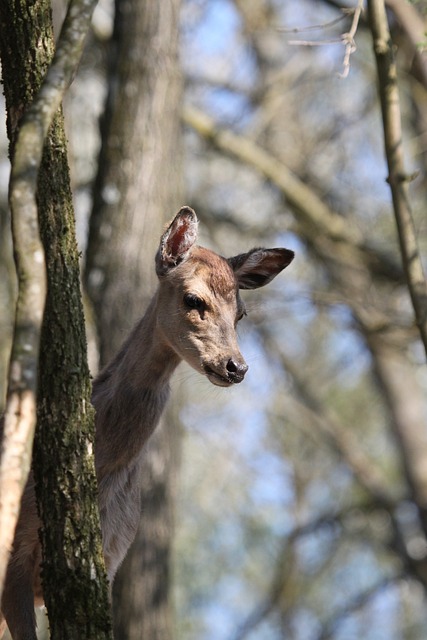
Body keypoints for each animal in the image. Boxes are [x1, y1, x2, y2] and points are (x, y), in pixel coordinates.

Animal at [0, 208, 294, 636]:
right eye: (194, 298)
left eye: (241, 313)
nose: (236, 366)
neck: (105, 468)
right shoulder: (14, 553)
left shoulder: (109, 559)